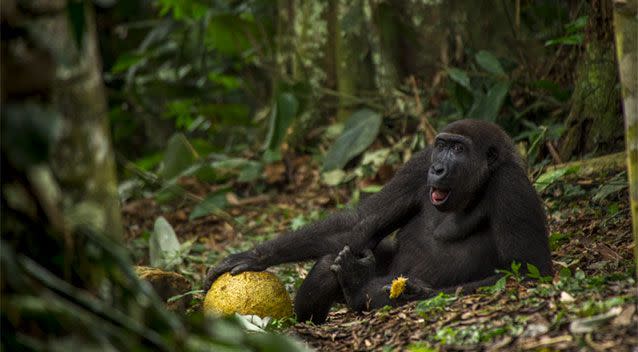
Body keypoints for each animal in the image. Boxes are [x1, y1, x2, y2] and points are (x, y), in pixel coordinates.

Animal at [205, 119, 556, 324]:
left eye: (459, 149)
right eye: (442, 145)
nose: (438, 169)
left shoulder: (511, 185)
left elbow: (527, 271)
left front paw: (408, 291)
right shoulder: (418, 164)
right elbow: (360, 223)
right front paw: (255, 255)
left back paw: (358, 288)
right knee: (332, 259)